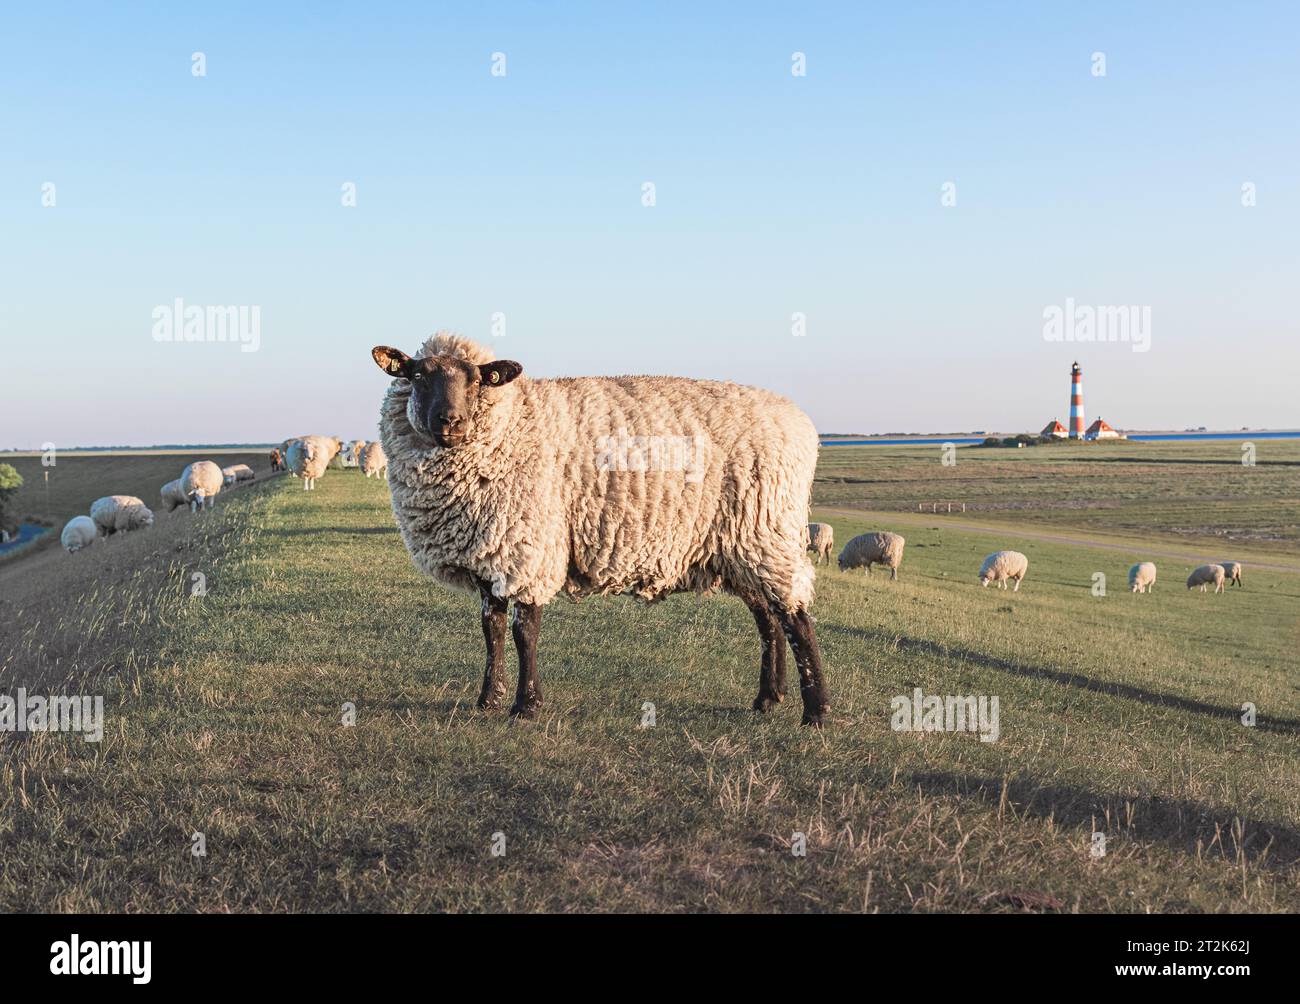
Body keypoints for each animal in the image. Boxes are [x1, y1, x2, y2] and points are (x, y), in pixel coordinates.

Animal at [371, 333, 830, 726]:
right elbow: (492, 629)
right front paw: (488, 700)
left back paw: (816, 711)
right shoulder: (490, 552)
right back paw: (768, 698)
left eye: (476, 380)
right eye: (417, 376)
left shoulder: (529, 545)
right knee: (769, 619)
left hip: (767, 531)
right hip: (739, 546)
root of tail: (802, 424)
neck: (513, 421)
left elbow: (524, 630)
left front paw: (526, 706)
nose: (450, 421)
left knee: (796, 617)